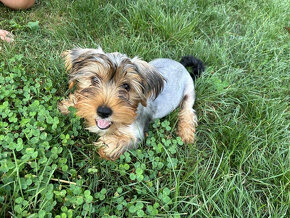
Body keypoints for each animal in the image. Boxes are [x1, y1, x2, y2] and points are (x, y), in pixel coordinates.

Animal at [58, 47, 204, 160]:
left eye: (126, 86)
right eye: (94, 79)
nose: (103, 112)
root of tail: (181, 65)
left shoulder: (136, 134)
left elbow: (120, 141)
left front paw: (106, 144)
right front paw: (70, 104)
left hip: (189, 91)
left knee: (188, 111)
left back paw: (186, 134)